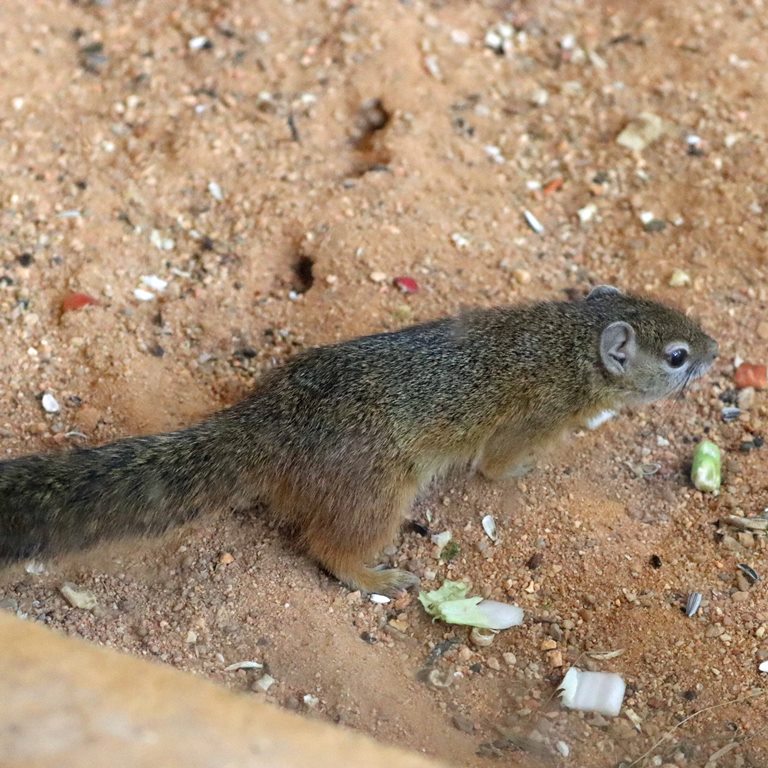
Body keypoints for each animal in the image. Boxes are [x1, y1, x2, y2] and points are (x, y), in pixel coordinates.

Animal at [0, 286, 717, 596]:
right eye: (677, 356)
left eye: (684, 317)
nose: (715, 349)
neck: (566, 340)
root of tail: (267, 420)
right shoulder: (529, 420)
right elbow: (500, 465)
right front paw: (531, 470)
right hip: (378, 493)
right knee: (328, 547)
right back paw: (378, 576)